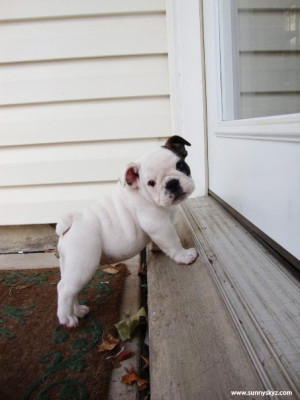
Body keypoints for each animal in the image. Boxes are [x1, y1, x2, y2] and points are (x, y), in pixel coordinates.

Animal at [56, 136, 198, 326]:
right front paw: (183, 256)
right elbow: (172, 240)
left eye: (181, 166)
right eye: (151, 183)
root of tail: (72, 221)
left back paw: (78, 311)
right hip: (83, 263)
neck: (144, 194)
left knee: (71, 289)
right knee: (64, 289)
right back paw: (67, 318)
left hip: (69, 265)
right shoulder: (157, 223)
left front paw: (158, 248)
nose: (172, 183)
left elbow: (161, 241)